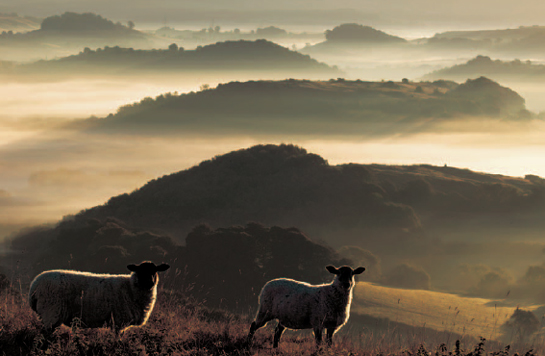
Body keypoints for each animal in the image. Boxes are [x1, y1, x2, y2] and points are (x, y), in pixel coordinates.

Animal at [27, 260, 170, 332]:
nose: (150, 282)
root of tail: (34, 285)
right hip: (51, 312)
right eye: (140, 271)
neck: (130, 288)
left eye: (155, 271)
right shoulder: (118, 322)